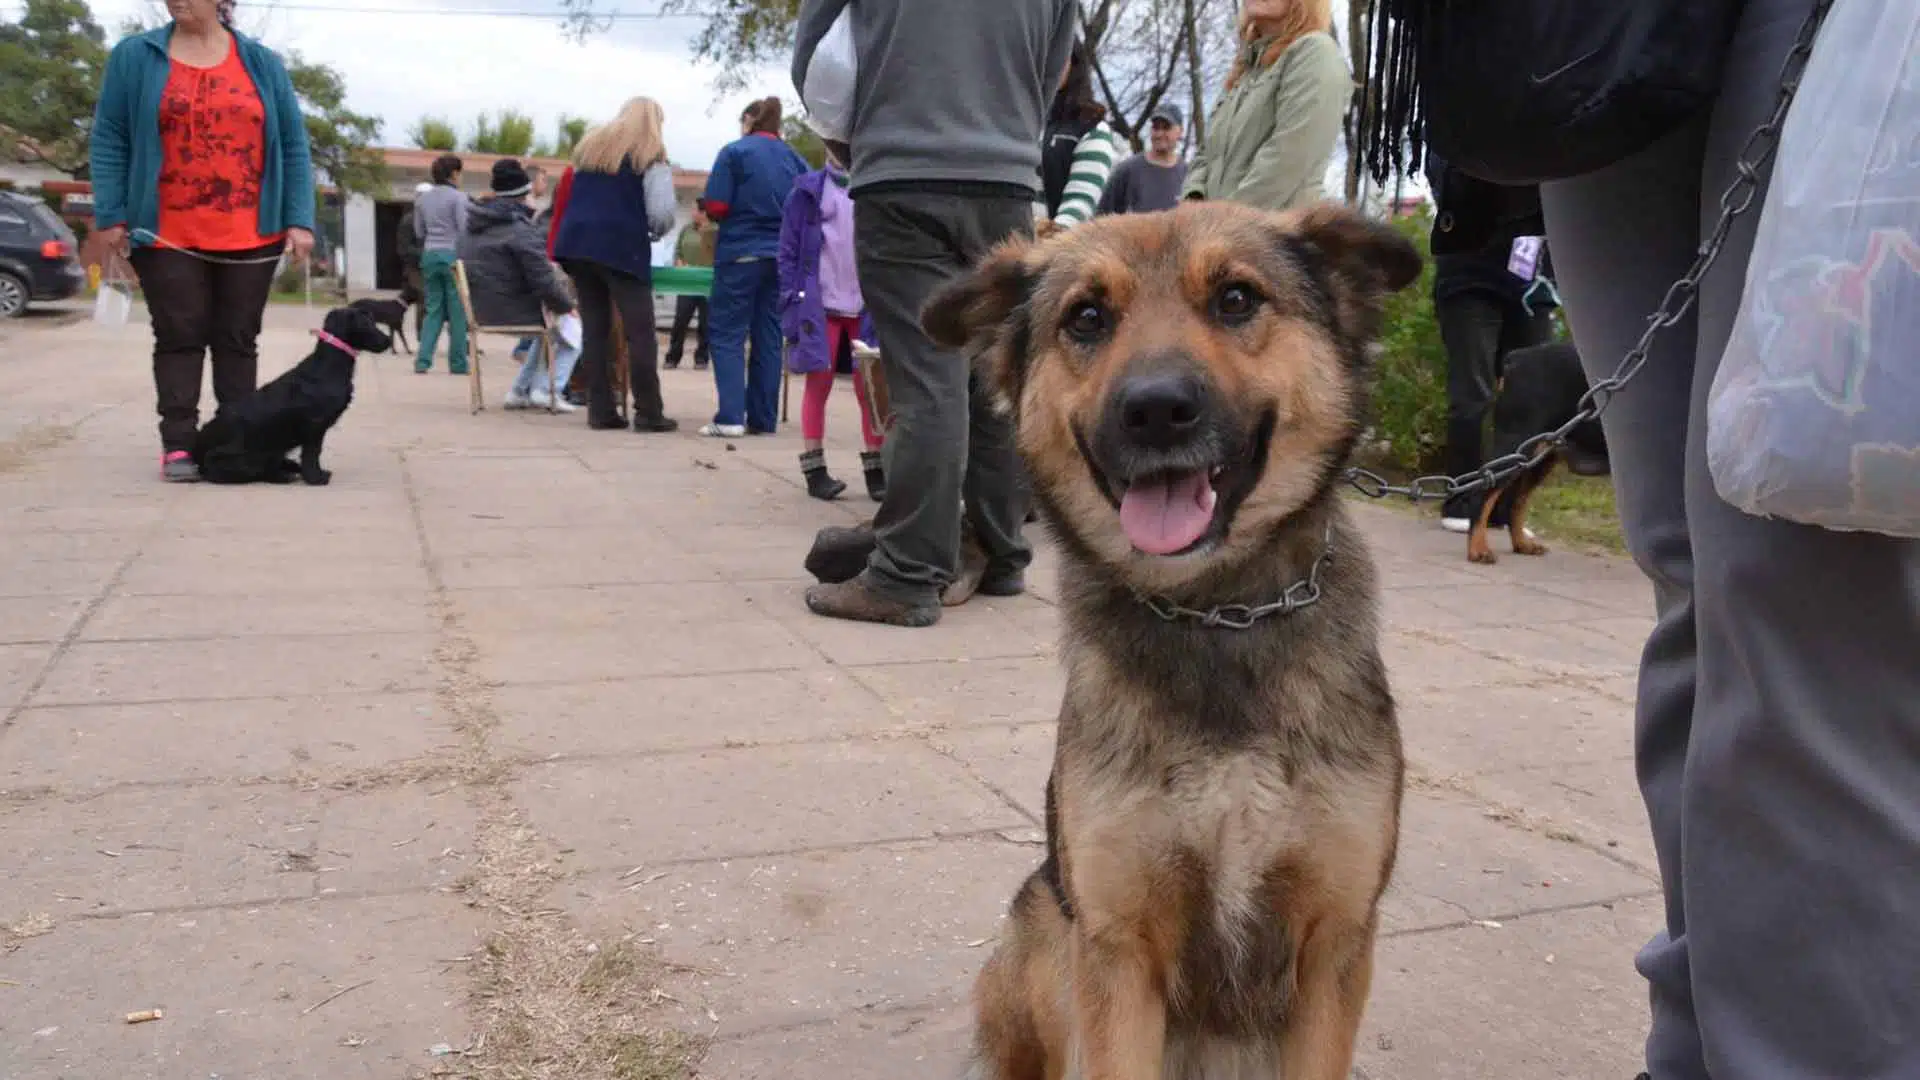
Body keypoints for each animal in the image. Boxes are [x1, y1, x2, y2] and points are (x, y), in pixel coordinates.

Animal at [192, 305, 391, 486]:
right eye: (366, 324)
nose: (388, 341)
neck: (329, 366)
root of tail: (198, 448)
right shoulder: (315, 425)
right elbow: (312, 453)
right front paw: (315, 478)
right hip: (242, 456)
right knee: (237, 471)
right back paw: (282, 475)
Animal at [921, 201, 1420, 1076]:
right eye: (1086, 317)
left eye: (1236, 298)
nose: (1155, 411)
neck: (1212, 612)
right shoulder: (1117, 948)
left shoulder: (1335, 944)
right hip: (1045, 927)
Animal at [1466, 340, 1605, 564]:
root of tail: (1516, 358)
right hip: (1516, 445)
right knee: (1482, 493)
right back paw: (1478, 549)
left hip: (1537, 458)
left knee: (1516, 502)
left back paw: (1522, 544)